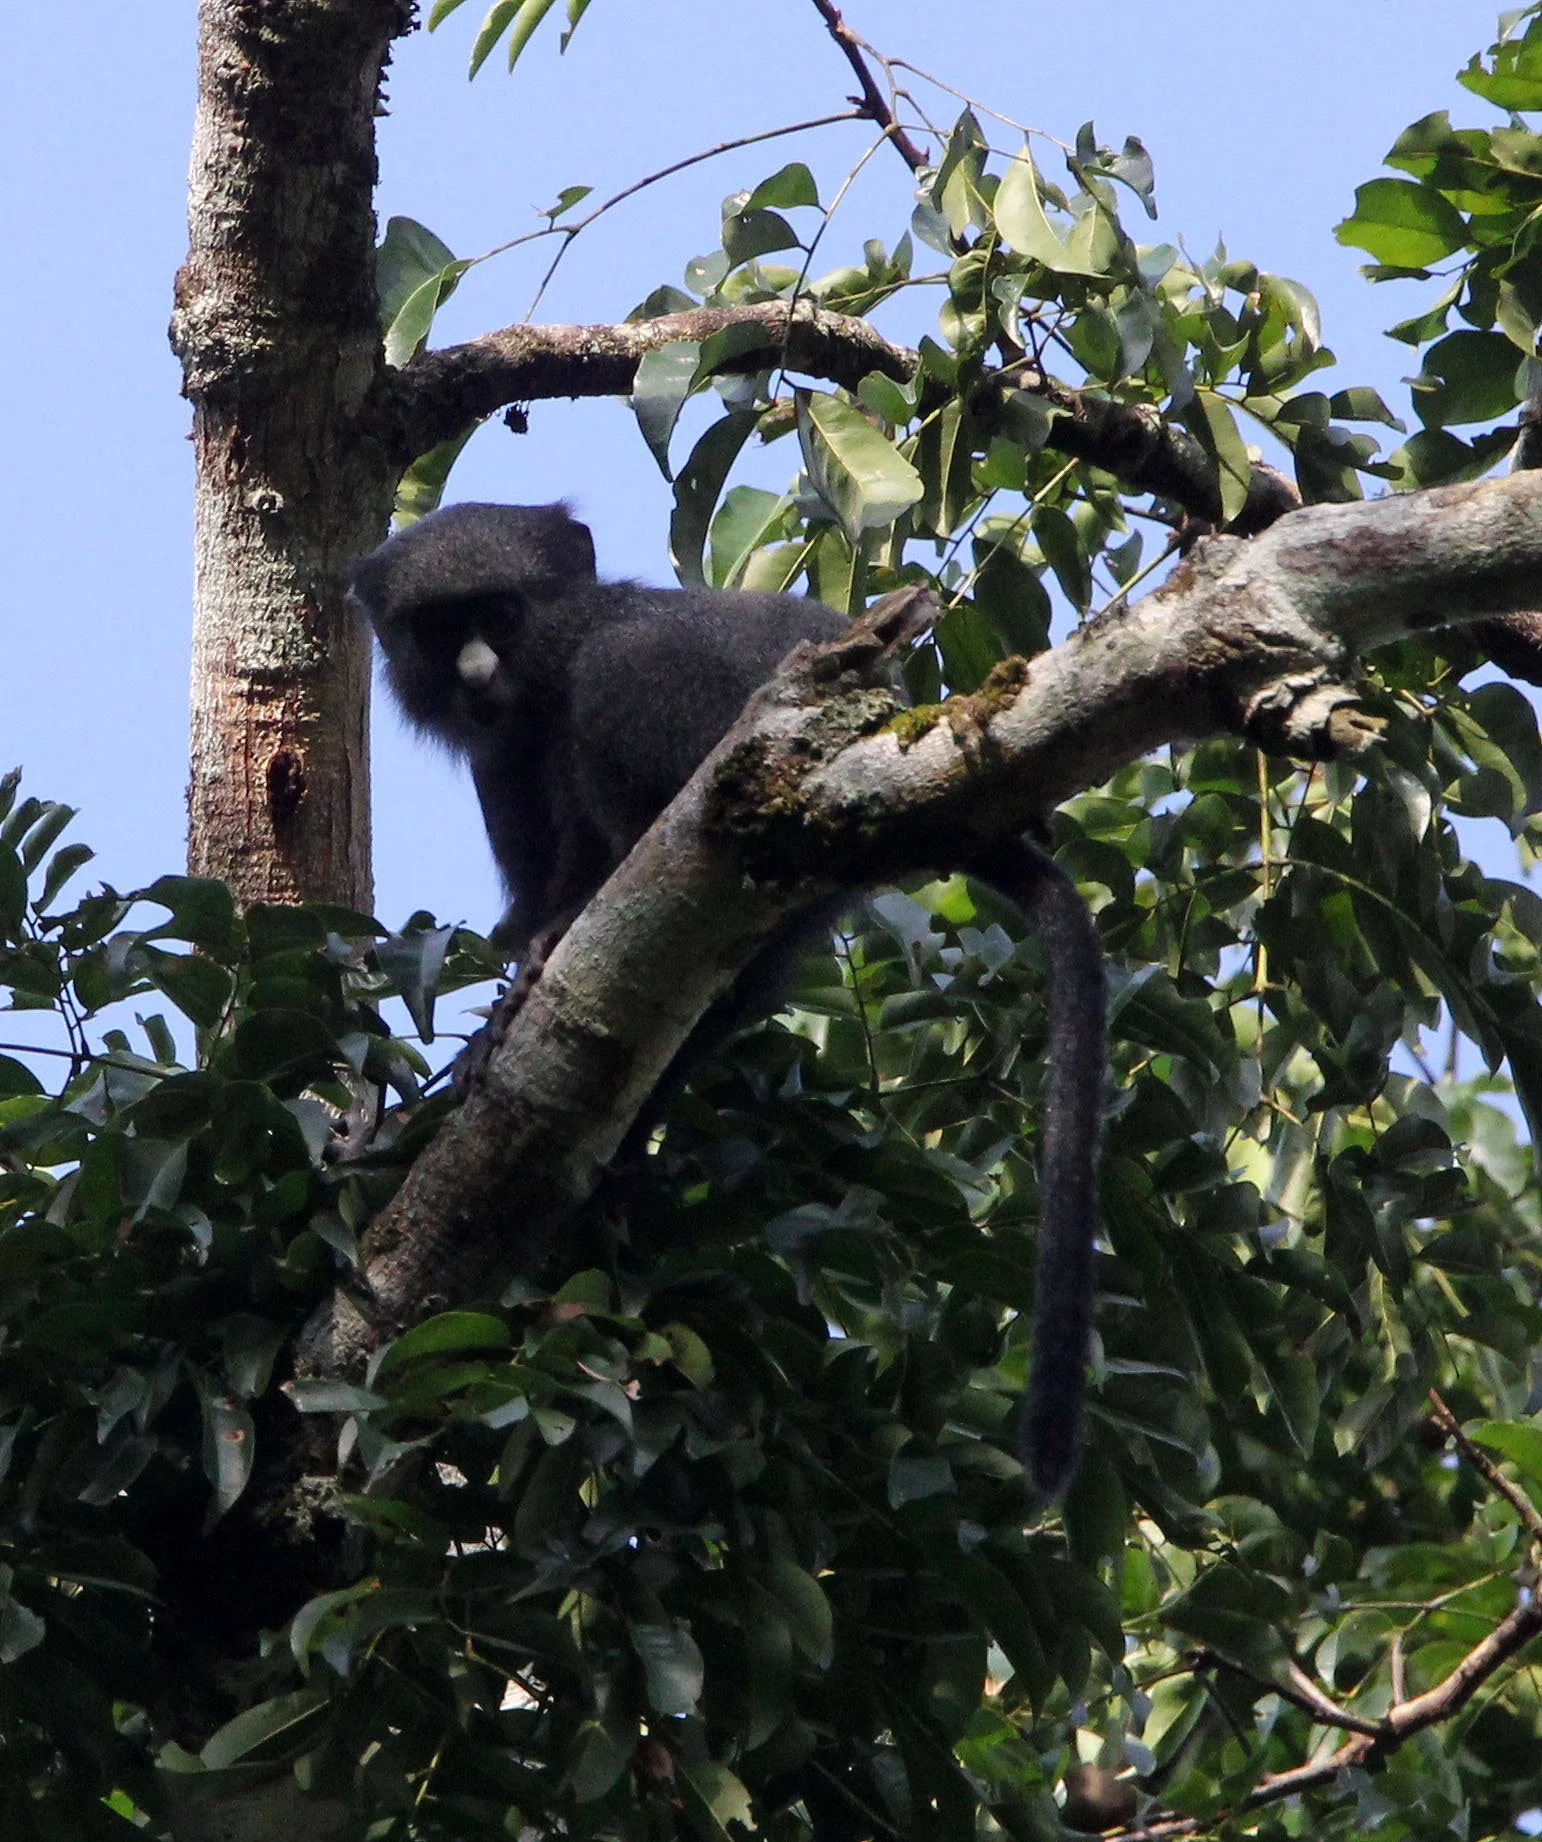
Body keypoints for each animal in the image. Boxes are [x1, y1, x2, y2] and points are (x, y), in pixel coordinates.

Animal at [348, 501, 1105, 1498]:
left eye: (502, 616)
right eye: (441, 631)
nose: (476, 674)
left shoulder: (617, 676)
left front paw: (535, 972)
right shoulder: (499, 758)